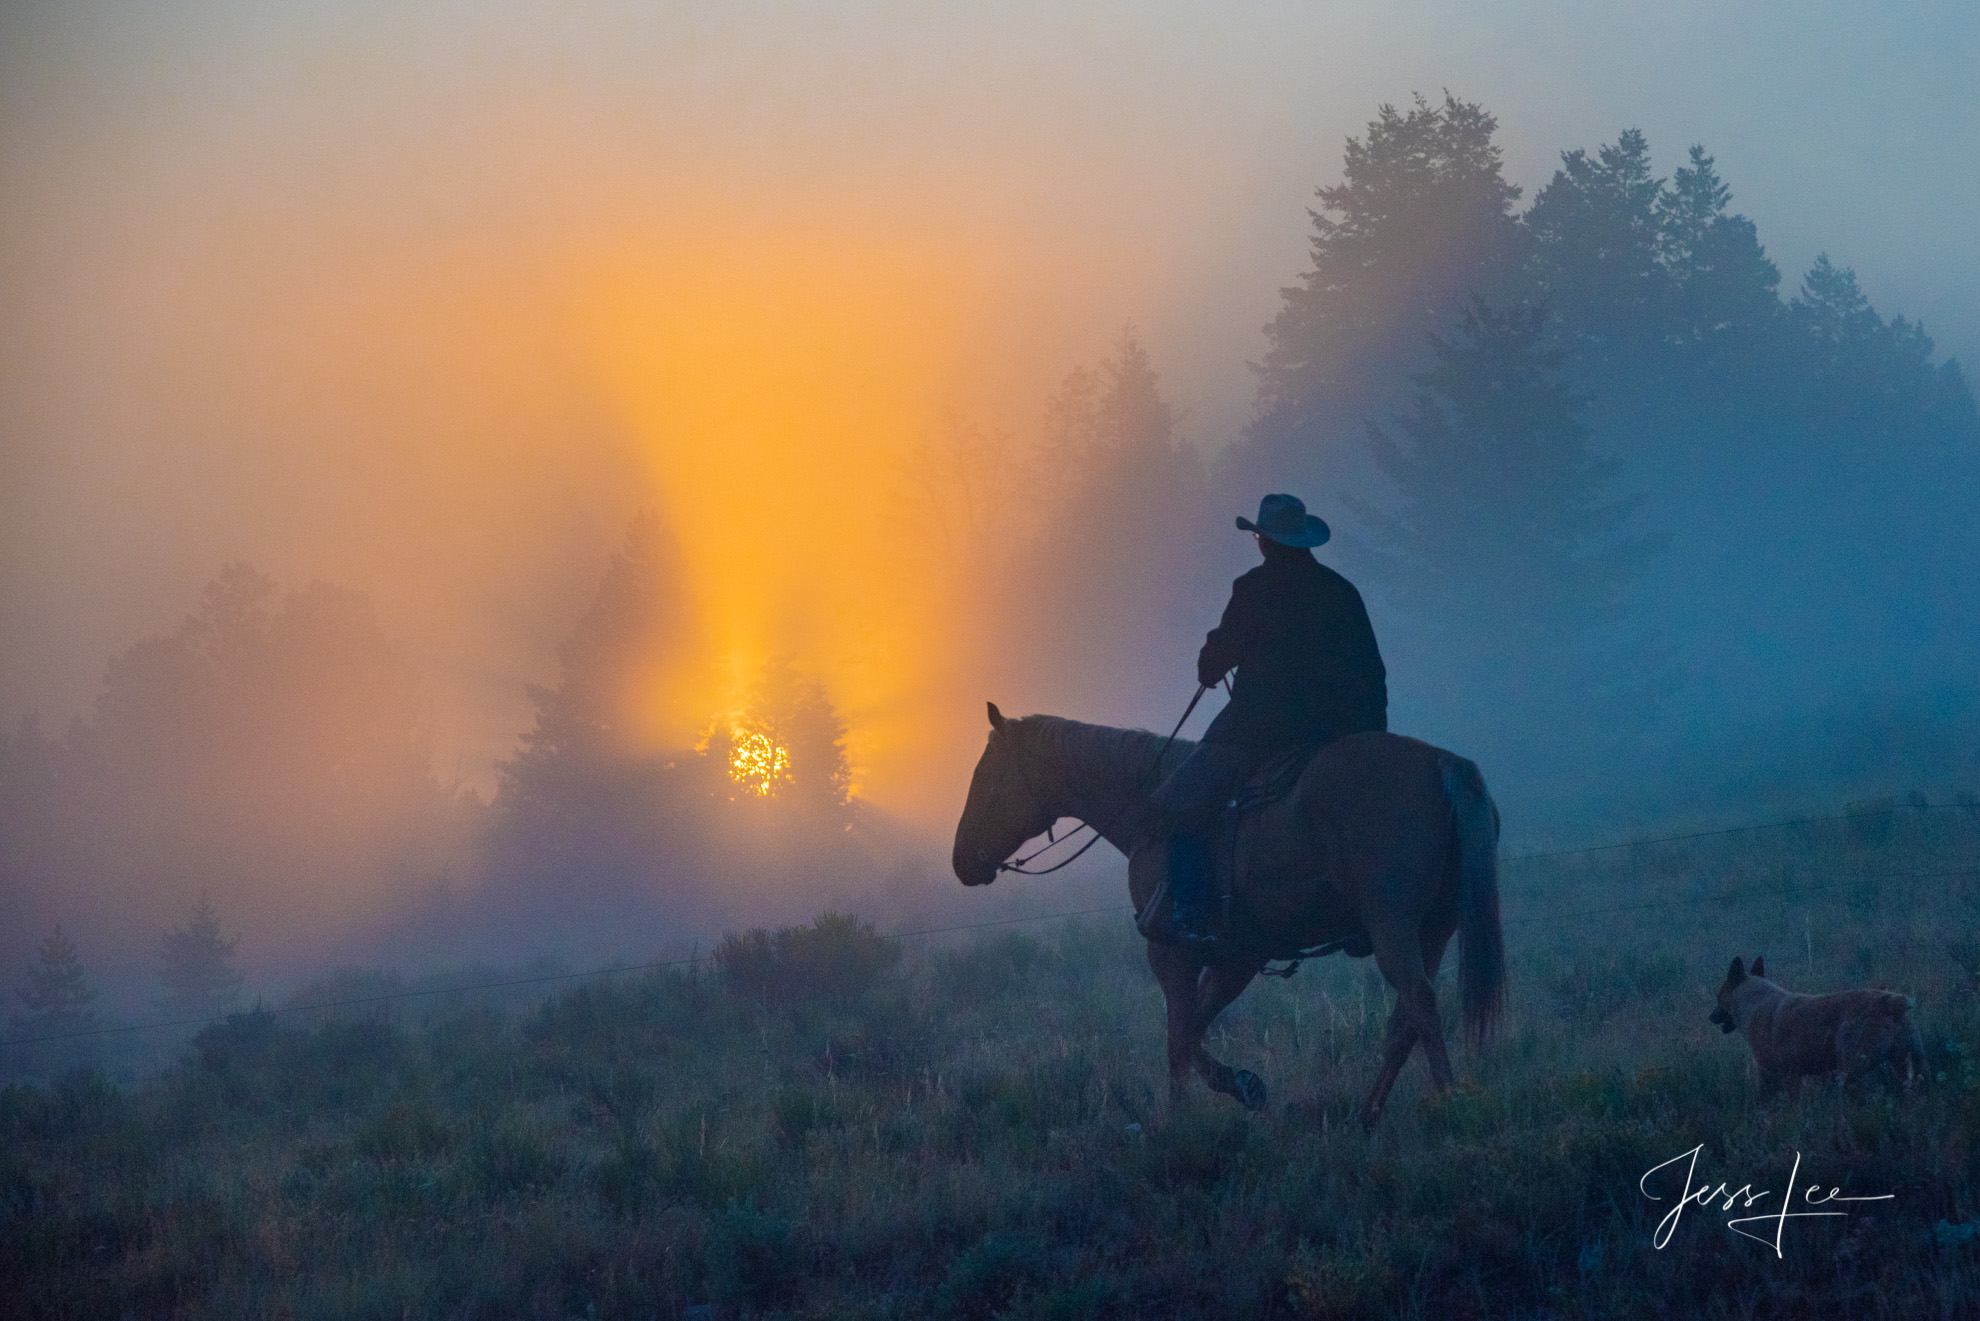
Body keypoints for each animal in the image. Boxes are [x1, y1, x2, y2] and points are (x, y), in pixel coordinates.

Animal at [946, 701, 1496, 1124]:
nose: (961, 861)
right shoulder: (1240, 956)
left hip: (1392, 927)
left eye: (986, 776)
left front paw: (1183, 1120)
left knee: (1419, 1003)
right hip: (1433, 929)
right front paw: (1242, 1084)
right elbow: (1193, 1031)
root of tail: (1442, 763)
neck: (1148, 807)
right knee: (1405, 1020)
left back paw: (1451, 1104)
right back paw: (1368, 1114)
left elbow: (1178, 1039)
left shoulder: (1170, 952)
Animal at [1710, 954, 1924, 1093]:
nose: (1710, 1016)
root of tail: (1891, 1004)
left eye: (1719, 996)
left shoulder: (1774, 1077)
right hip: (1904, 1066)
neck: (1754, 1002)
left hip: (1851, 1071)